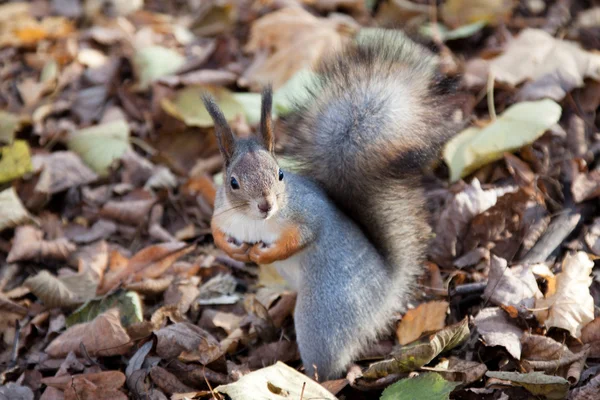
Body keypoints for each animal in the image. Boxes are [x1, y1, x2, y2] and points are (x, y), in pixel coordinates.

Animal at [204, 31, 458, 382]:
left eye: (280, 173)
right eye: (233, 182)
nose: (266, 205)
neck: (254, 222)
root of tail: (386, 293)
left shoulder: (308, 215)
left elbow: (302, 237)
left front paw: (262, 255)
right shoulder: (221, 213)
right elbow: (215, 230)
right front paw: (232, 249)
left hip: (323, 315)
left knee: (325, 364)